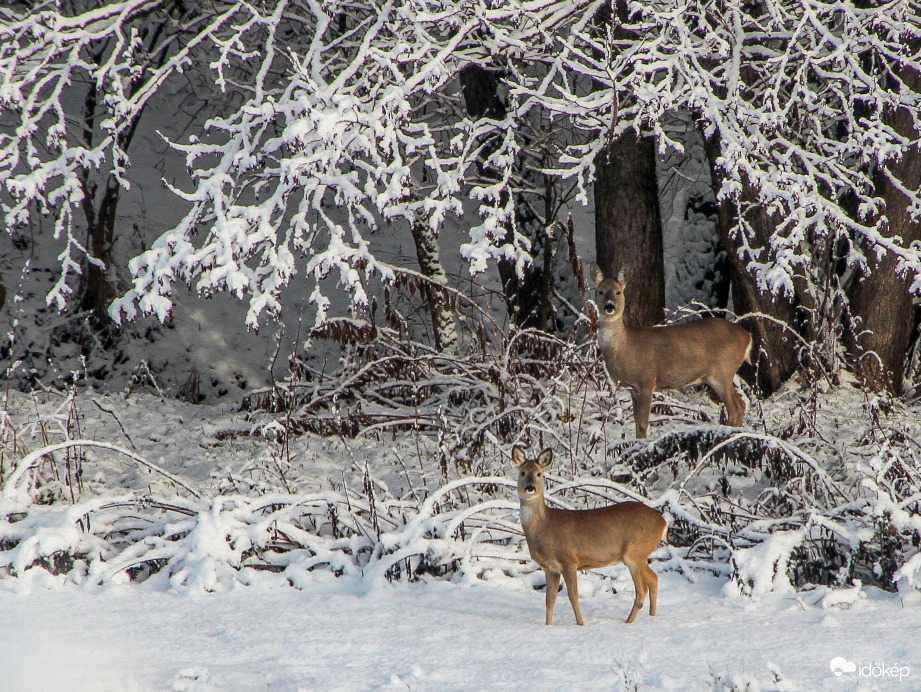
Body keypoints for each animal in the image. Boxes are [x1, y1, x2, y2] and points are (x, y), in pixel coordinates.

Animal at [510, 446, 668, 624]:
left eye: (539, 473)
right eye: (522, 472)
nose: (530, 487)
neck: (544, 528)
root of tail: (663, 523)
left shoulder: (569, 560)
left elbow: (573, 596)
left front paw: (581, 624)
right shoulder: (549, 567)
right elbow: (549, 600)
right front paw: (548, 626)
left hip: (634, 553)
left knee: (641, 590)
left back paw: (628, 622)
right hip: (641, 555)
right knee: (653, 579)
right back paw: (651, 616)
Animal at [584, 262, 752, 440]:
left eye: (618, 291)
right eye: (600, 291)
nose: (609, 306)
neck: (625, 347)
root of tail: (747, 336)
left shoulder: (646, 380)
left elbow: (643, 424)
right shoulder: (632, 388)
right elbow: (637, 425)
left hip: (723, 370)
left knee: (736, 407)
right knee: (740, 405)